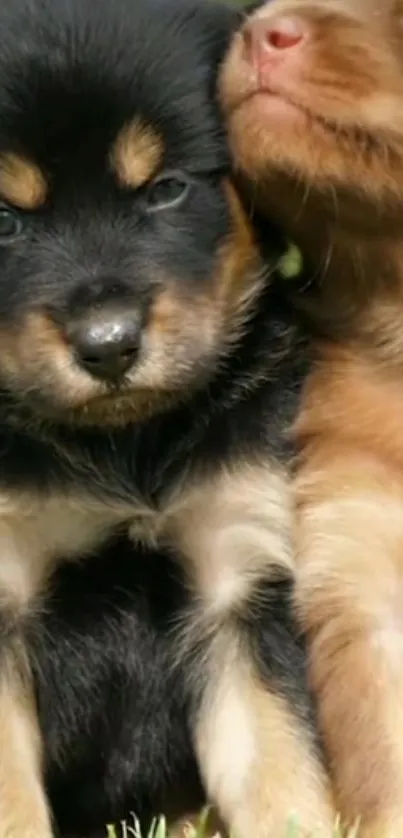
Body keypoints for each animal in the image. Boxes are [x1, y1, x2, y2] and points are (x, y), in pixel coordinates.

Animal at [0, 1, 336, 838]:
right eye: (4, 221)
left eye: (166, 190)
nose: (108, 345)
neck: (124, 447)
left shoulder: (238, 583)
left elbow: (285, 780)